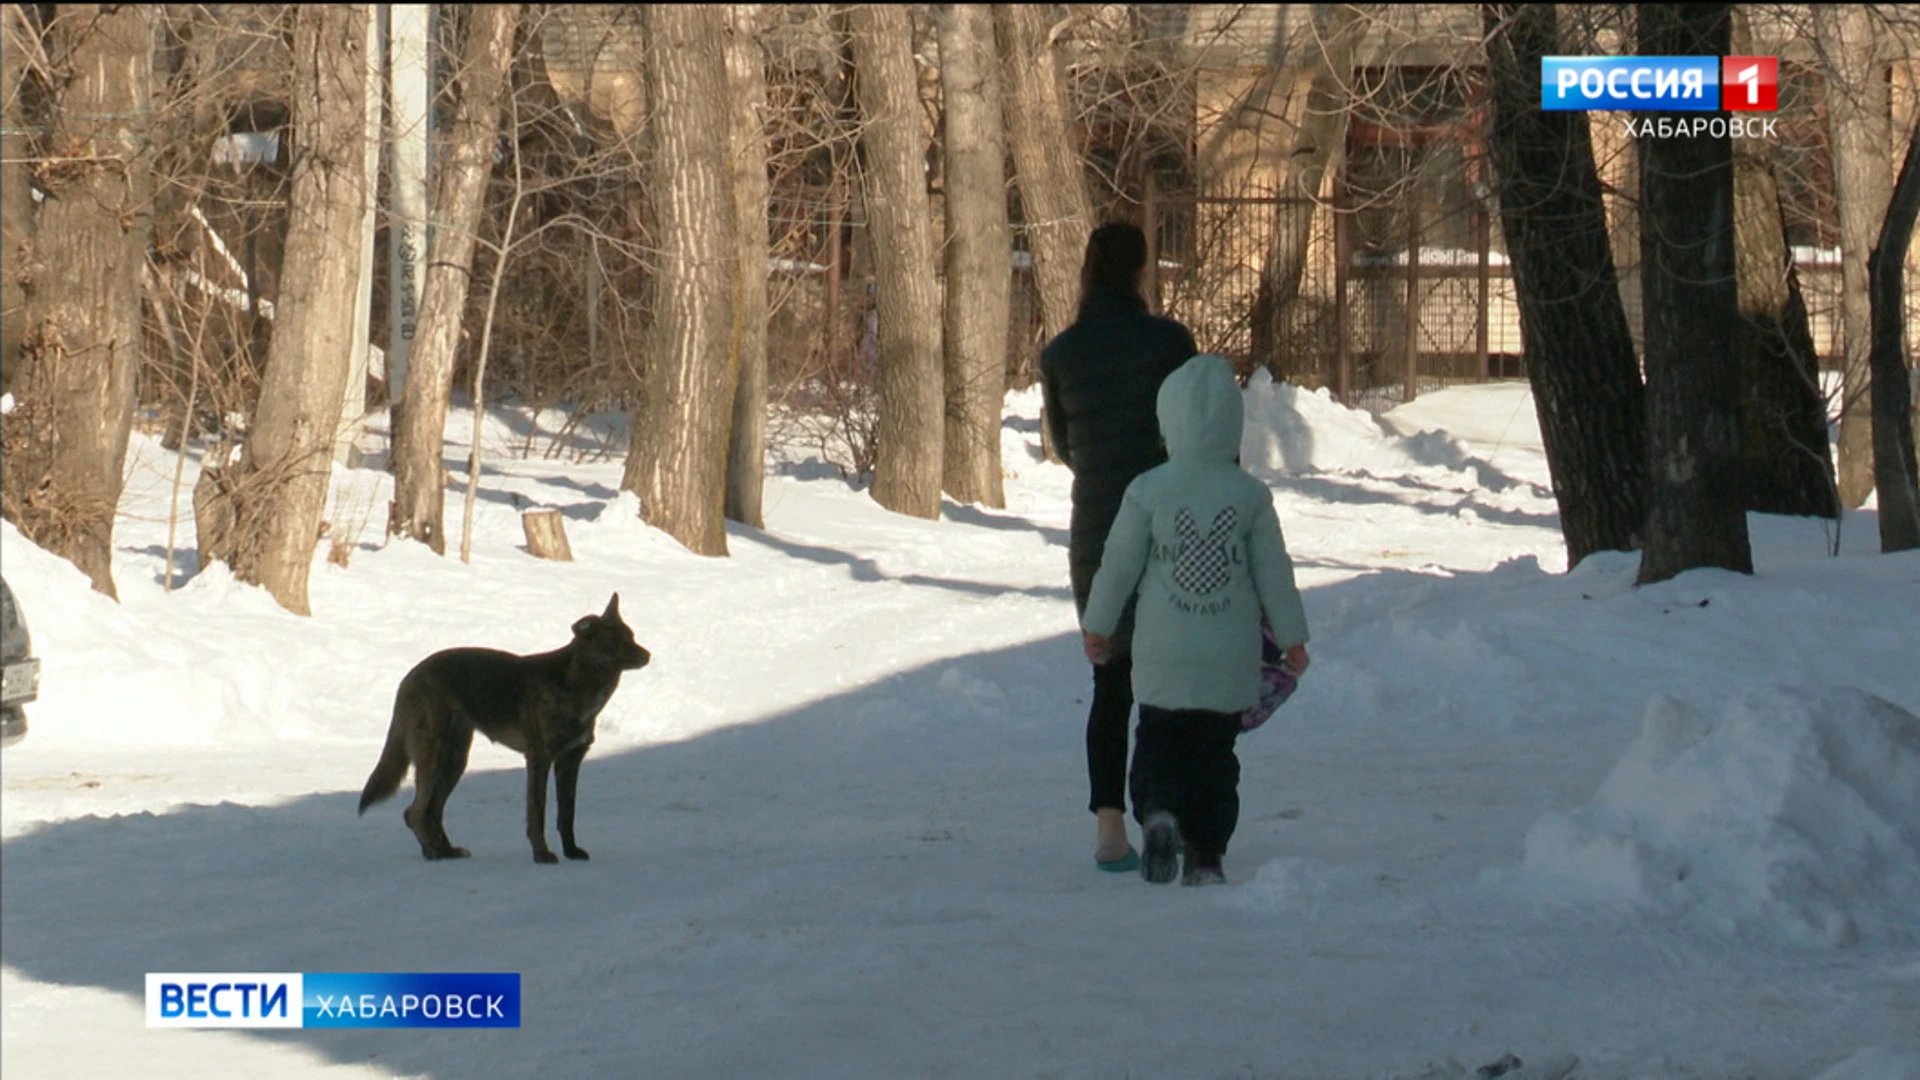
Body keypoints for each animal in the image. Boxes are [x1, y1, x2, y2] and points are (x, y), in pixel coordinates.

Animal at [360, 588, 652, 857]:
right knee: (415, 812)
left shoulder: (570, 762)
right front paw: (542, 854)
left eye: (632, 636)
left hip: (454, 761)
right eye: (615, 641)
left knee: (430, 812)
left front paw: (571, 852)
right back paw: (434, 852)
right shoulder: (539, 759)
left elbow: (566, 815)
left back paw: (445, 851)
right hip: (434, 757)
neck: (576, 685)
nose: (648, 655)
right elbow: (537, 814)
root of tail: (410, 675)